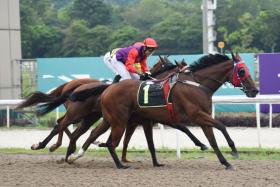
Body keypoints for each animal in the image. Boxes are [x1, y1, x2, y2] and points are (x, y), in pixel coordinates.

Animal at [77, 52, 260, 169]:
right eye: (242, 70)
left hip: (111, 120)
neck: (197, 84)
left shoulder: (200, 117)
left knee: (96, 134)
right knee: (110, 143)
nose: (255, 90)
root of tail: (108, 89)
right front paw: (233, 151)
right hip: (119, 121)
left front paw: (225, 162)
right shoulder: (195, 115)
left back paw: (78, 155)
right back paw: (119, 164)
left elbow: (212, 140)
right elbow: (221, 126)